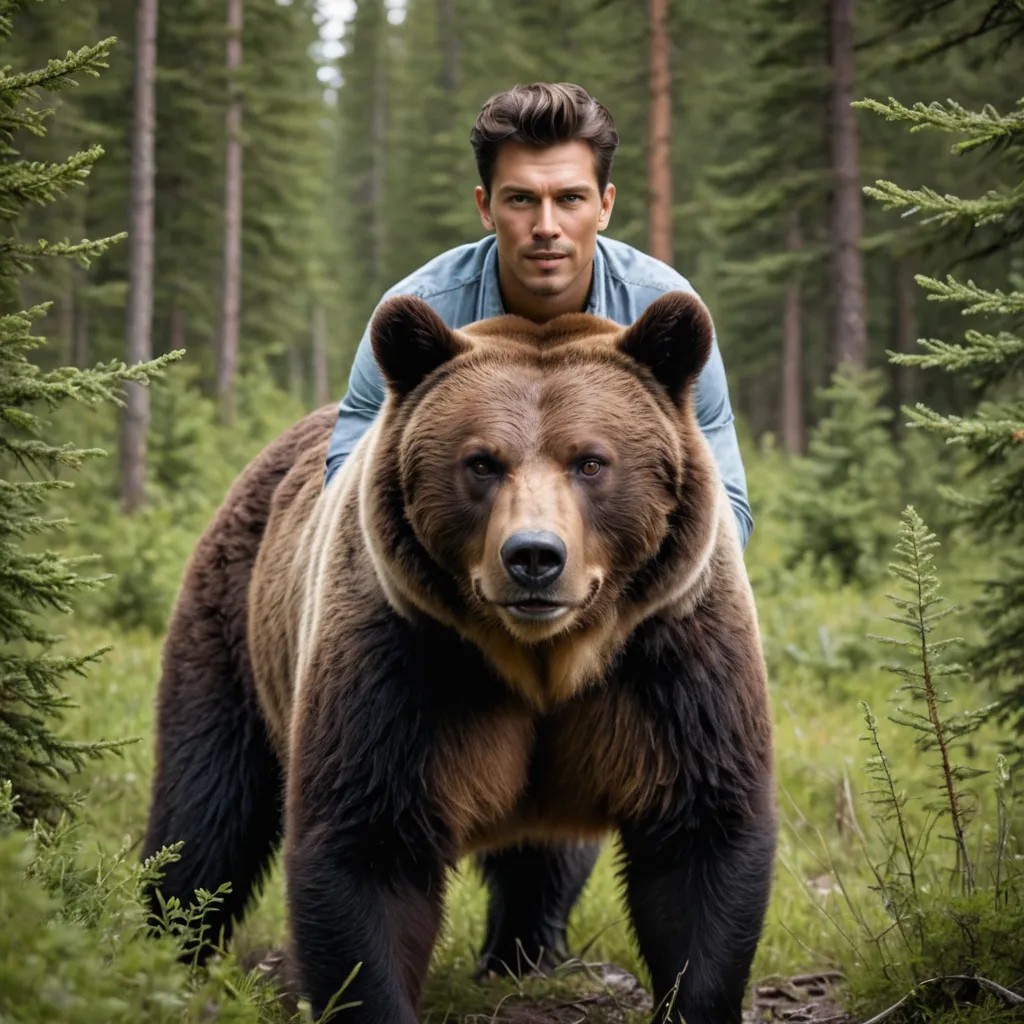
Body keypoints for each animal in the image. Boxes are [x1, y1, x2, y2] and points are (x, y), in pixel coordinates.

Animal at [141, 291, 776, 1024]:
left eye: (590, 461)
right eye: (482, 462)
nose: (534, 556)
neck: (543, 659)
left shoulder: (670, 662)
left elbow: (701, 834)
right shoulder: (402, 660)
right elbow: (367, 847)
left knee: (546, 857)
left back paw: (525, 951)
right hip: (232, 629)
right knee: (207, 806)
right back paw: (169, 950)